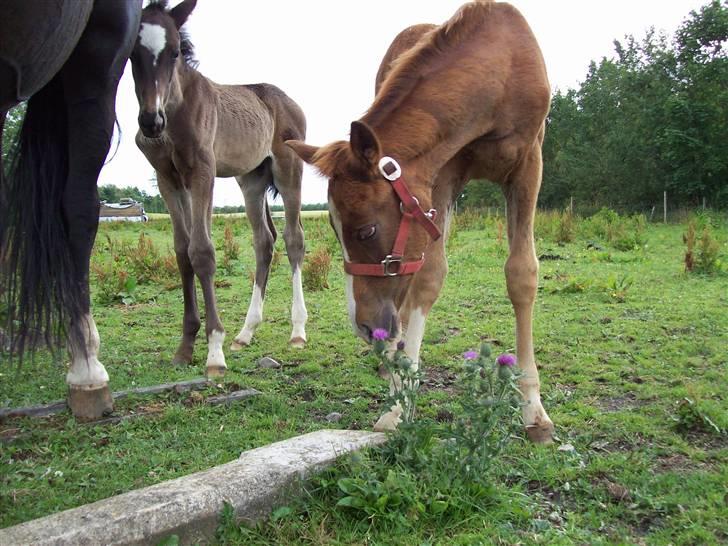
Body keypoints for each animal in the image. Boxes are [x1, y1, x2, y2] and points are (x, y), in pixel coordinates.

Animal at [131, 0, 308, 376]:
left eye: (174, 52)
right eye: (132, 54)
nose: (150, 121)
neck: (176, 111)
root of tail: (290, 102)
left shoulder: (203, 171)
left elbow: (202, 251)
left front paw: (214, 352)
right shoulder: (168, 177)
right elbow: (182, 251)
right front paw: (185, 347)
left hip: (288, 170)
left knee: (293, 239)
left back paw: (298, 331)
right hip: (252, 179)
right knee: (264, 241)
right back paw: (245, 333)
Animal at [288, 0, 556, 440]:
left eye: (366, 230)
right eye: (332, 229)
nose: (363, 327)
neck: (499, 72)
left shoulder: (528, 164)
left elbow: (522, 274)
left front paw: (533, 409)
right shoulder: (441, 175)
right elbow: (429, 278)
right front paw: (399, 405)